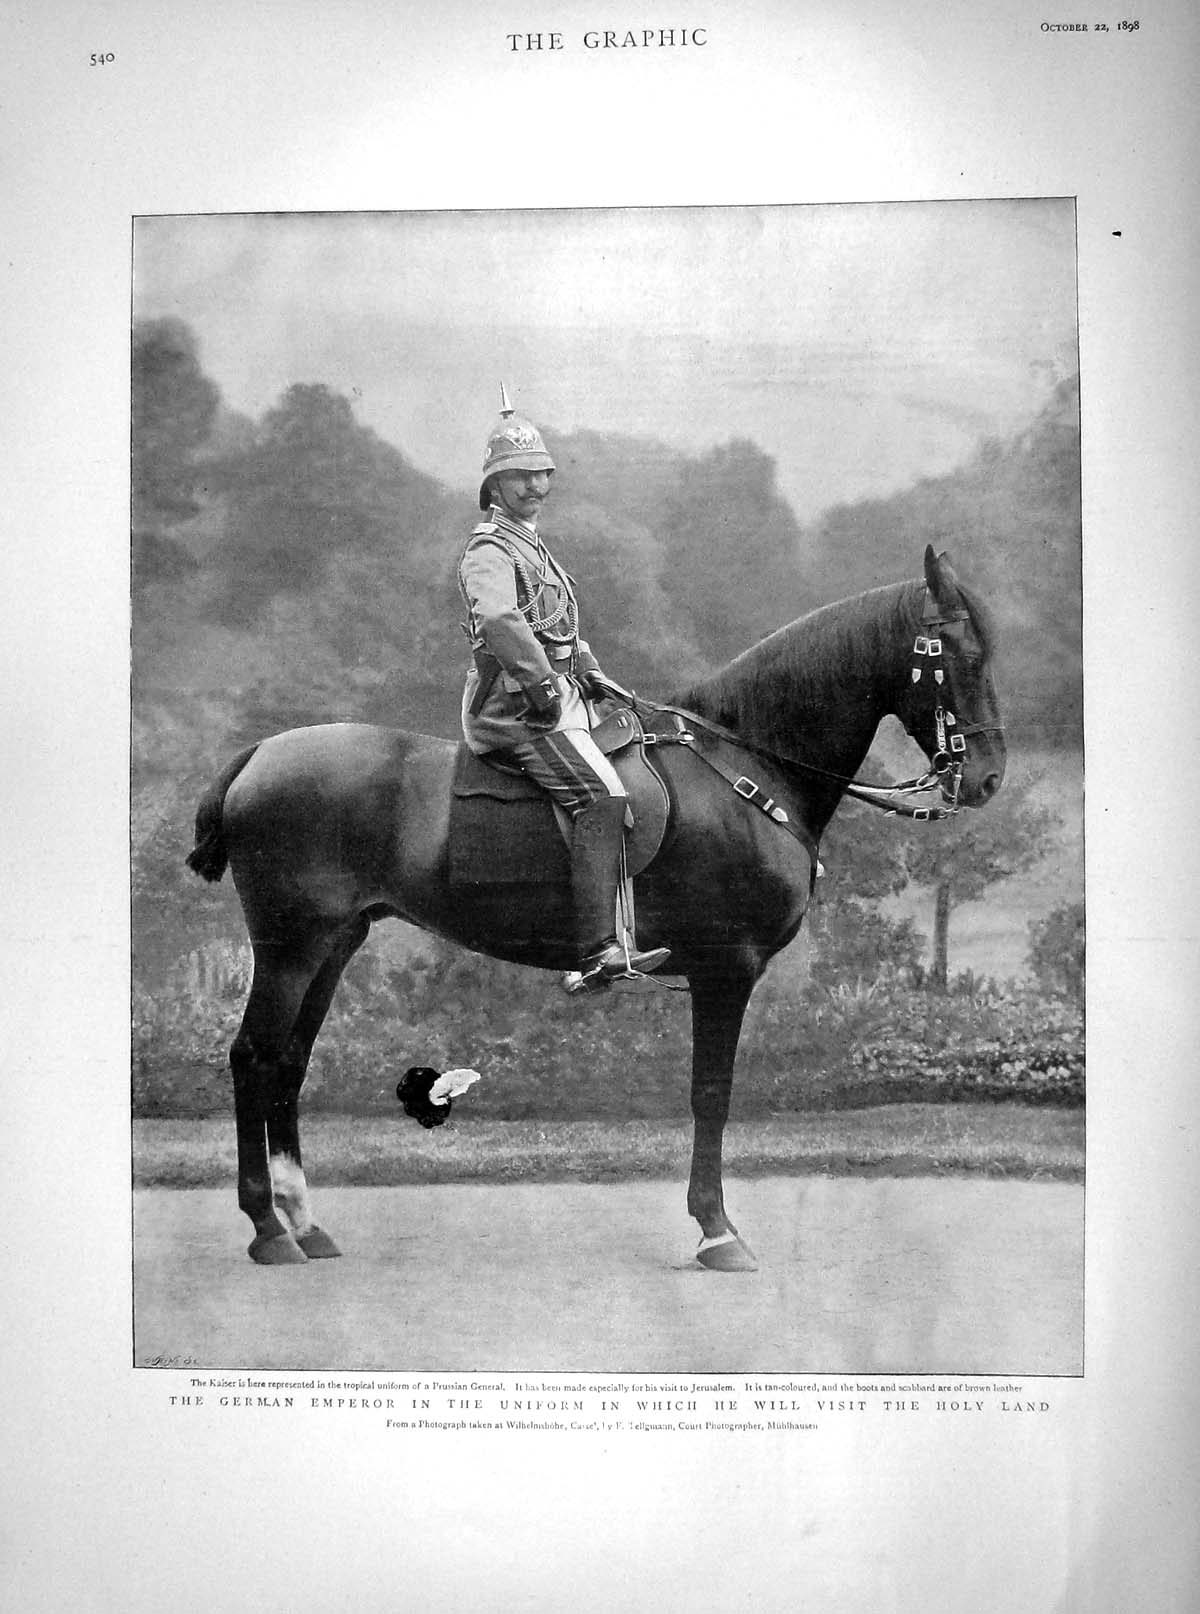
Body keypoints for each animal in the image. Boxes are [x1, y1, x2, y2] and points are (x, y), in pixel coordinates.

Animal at [186, 545, 1005, 1272]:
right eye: (959, 653)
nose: (989, 779)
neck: (743, 766)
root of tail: (258, 754)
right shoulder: (726, 970)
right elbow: (711, 1095)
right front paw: (716, 1230)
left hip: (334, 942)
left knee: (289, 1062)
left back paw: (303, 1222)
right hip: (291, 944)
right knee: (254, 1057)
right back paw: (267, 1228)